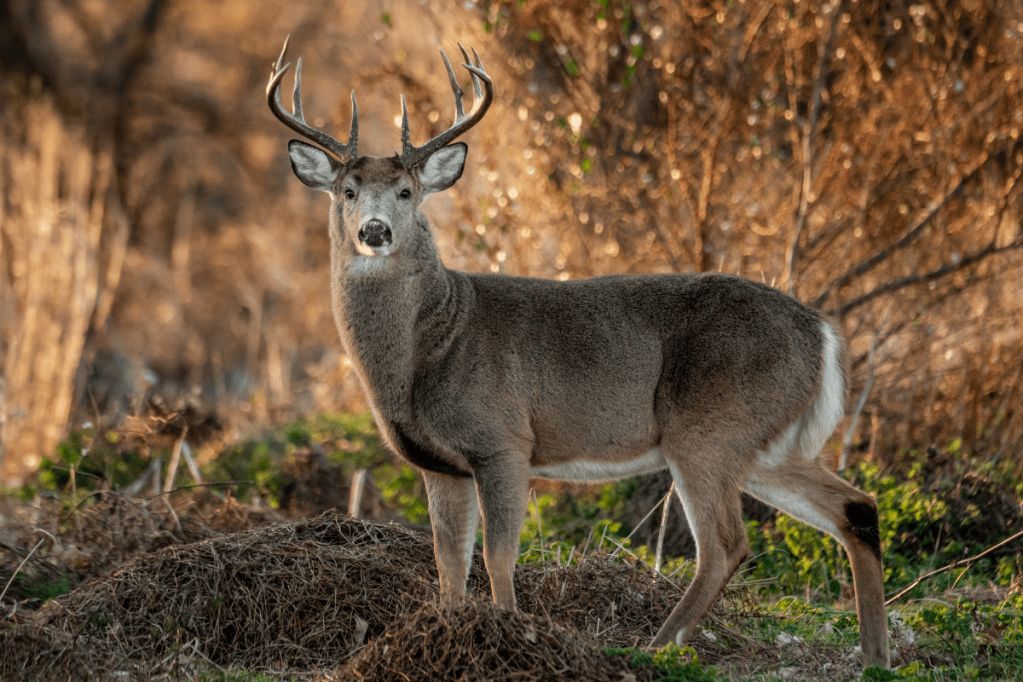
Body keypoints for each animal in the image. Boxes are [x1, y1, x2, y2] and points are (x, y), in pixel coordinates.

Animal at [268, 34, 892, 670]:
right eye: (347, 191)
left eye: (407, 191)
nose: (374, 231)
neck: (432, 345)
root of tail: (821, 330)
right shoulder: (439, 463)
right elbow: (448, 563)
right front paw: (444, 634)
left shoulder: (503, 440)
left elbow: (496, 556)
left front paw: (508, 634)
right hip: (764, 442)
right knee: (856, 508)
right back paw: (876, 657)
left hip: (708, 427)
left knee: (725, 544)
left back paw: (654, 647)